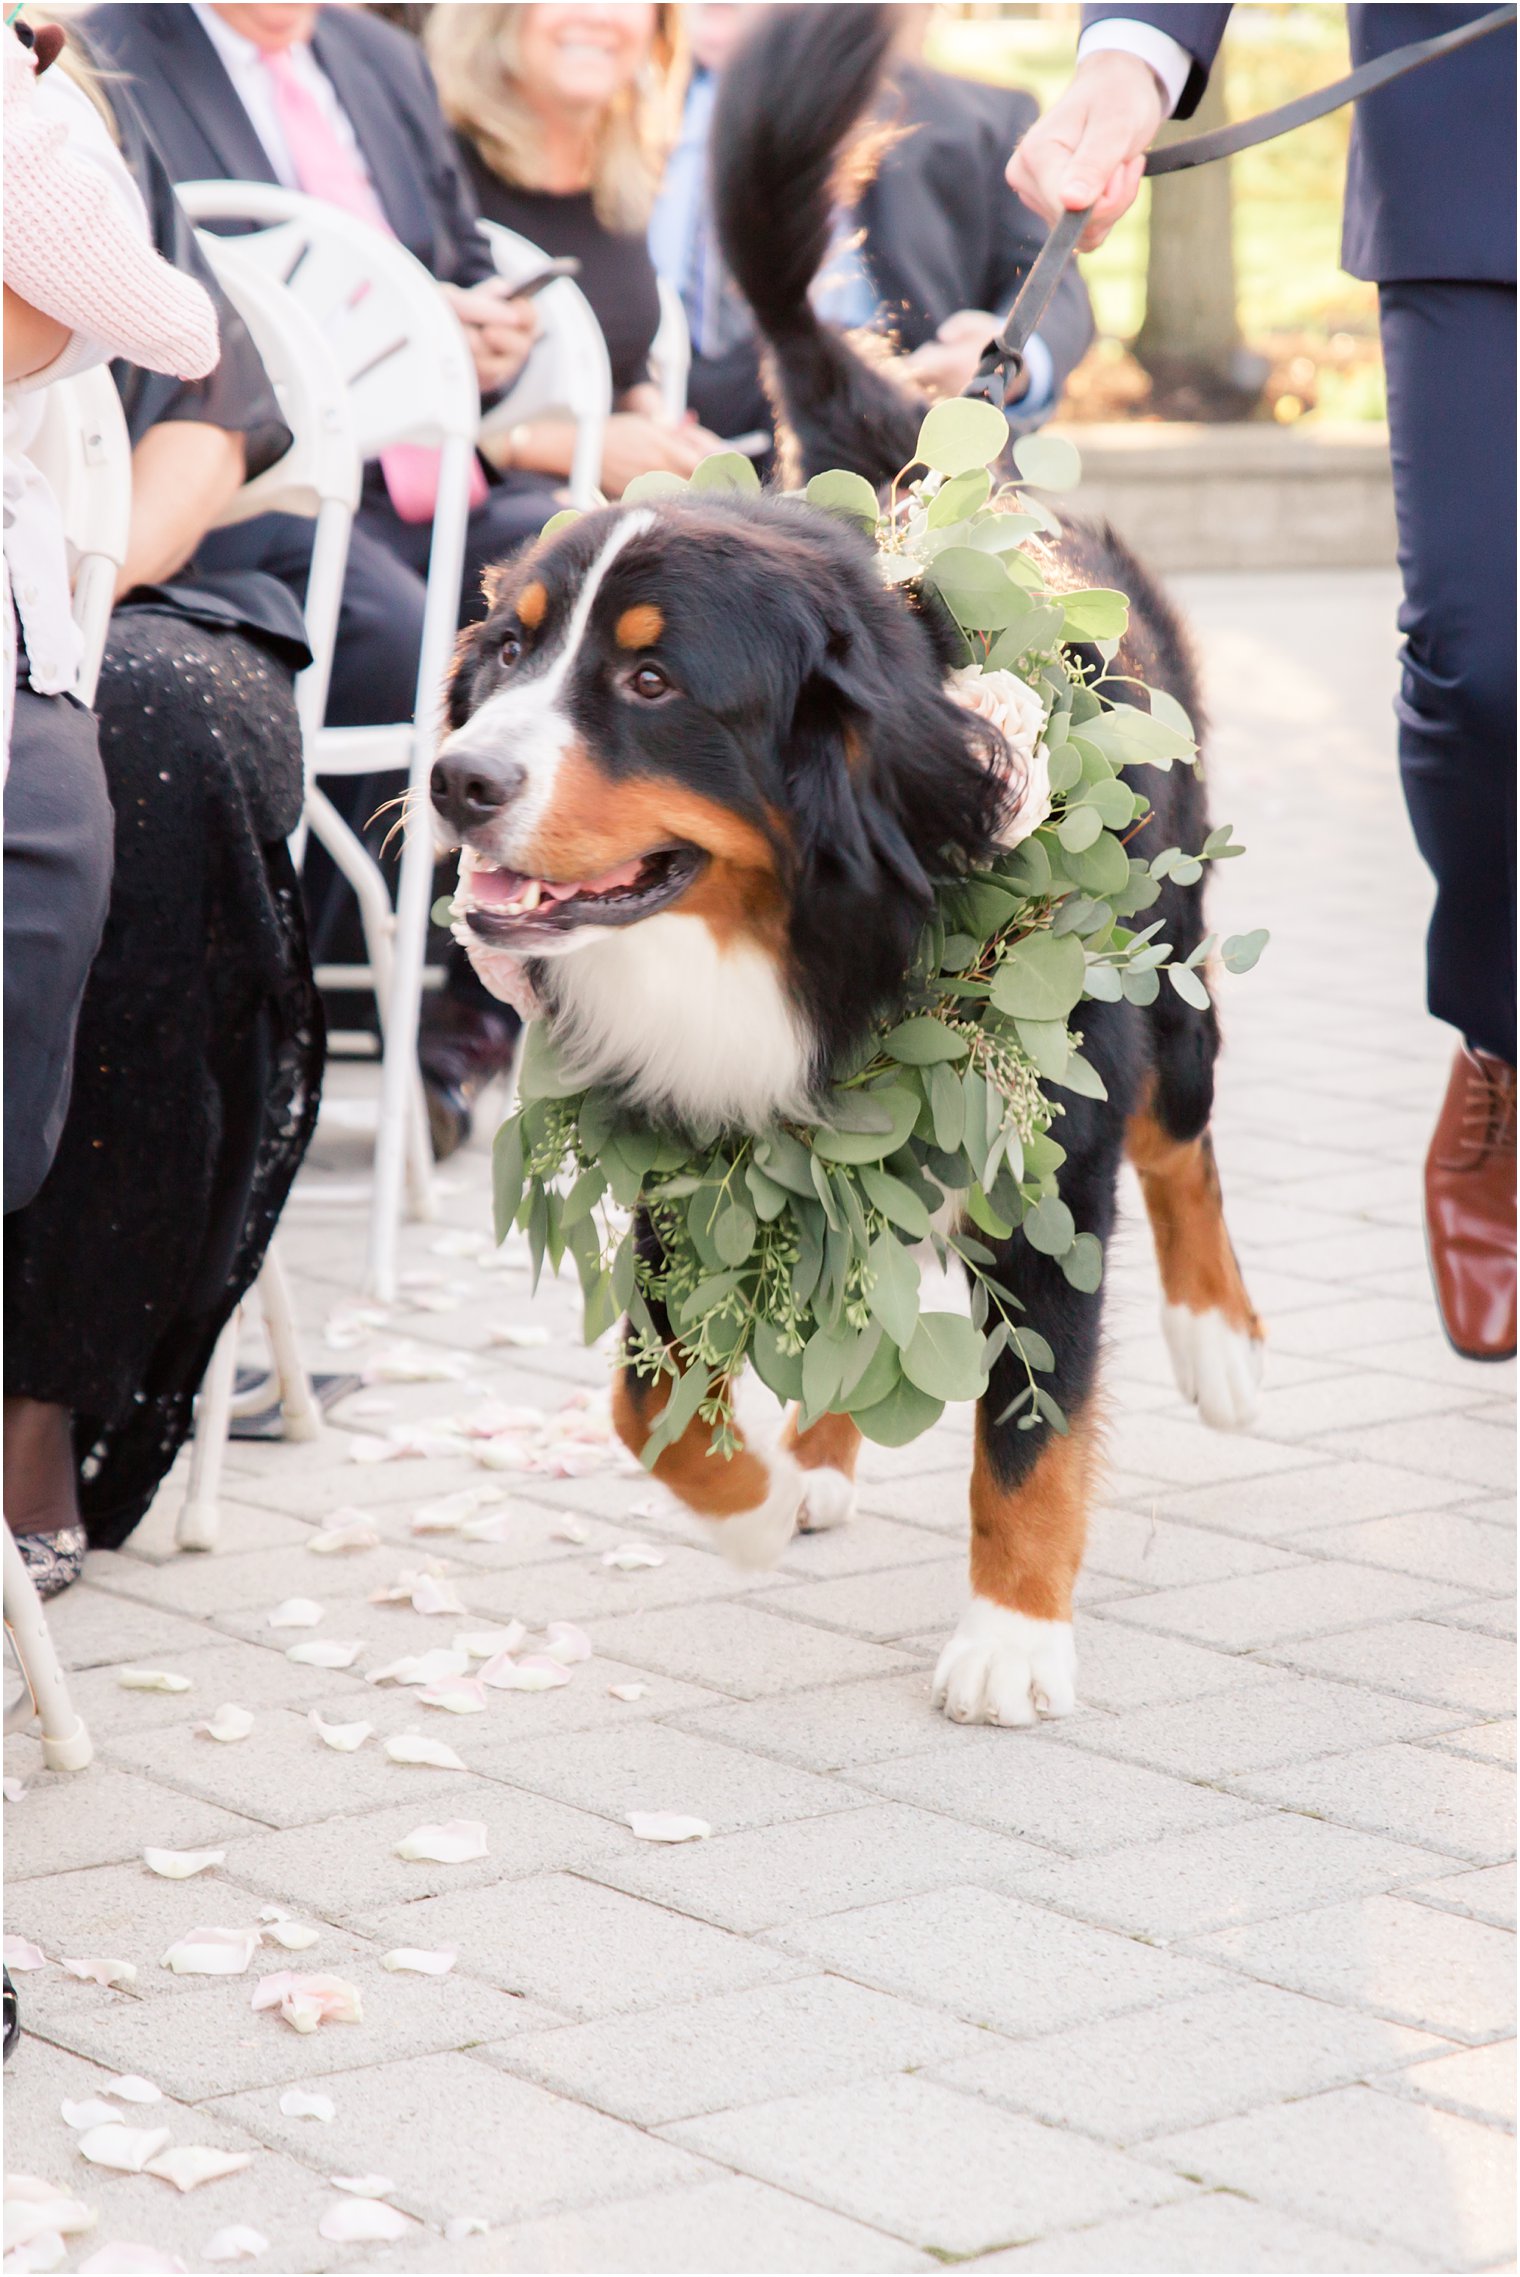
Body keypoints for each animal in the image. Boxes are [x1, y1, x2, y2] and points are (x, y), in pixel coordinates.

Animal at [427, 0, 1256, 1721]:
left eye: (651, 682)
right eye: (511, 652)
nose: (459, 780)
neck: (771, 935)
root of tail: (951, 455)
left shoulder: (1045, 1152)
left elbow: (1031, 1425)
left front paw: (1012, 1633)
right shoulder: (687, 1133)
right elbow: (647, 1389)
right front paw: (736, 1497)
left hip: (1170, 965)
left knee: (1186, 1141)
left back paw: (1222, 1344)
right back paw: (811, 1454)